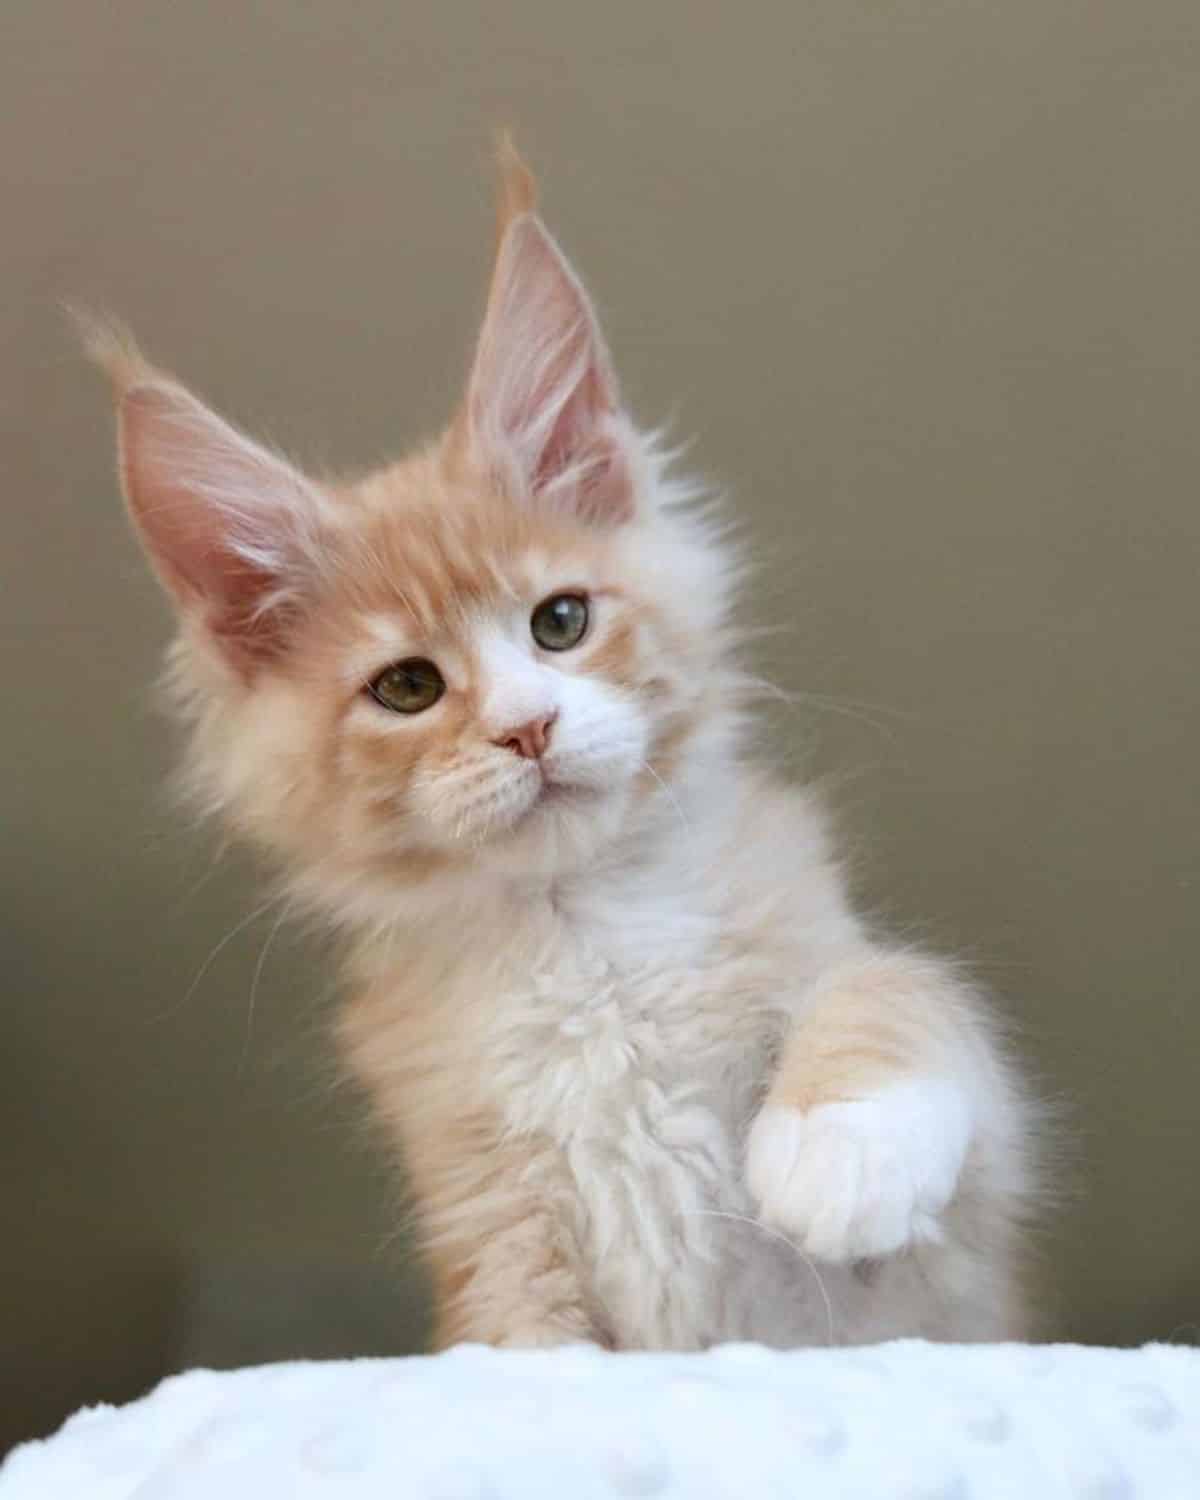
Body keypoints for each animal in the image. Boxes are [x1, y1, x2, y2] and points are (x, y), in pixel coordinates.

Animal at [89, 146, 1038, 1356]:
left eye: (561, 622)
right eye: (407, 688)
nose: (526, 727)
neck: (587, 938)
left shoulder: (954, 1260)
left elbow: (900, 989)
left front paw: (841, 1149)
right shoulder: (486, 1215)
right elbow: (526, 1349)